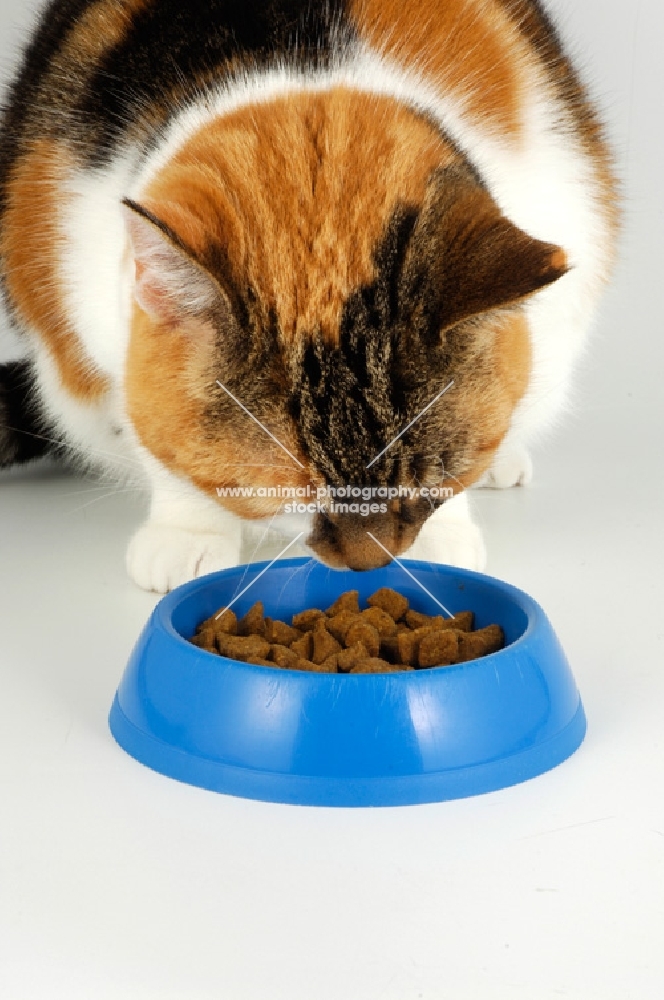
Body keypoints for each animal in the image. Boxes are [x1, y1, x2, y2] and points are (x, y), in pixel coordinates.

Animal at [0, 0, 616, 588]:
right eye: (292, 492)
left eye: (430, 480)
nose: (374, 563)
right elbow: (154, 429)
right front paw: (189, 534)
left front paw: (446, 536)